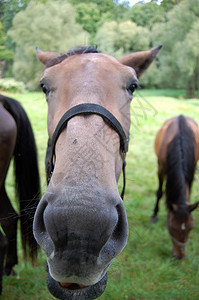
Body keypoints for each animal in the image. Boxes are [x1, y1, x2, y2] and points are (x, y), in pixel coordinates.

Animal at [151, 114, 199, 258]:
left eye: (191, 227)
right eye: (172, 227)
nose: (180, 255)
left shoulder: (191, 170)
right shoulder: (161, 168)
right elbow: (159, 192)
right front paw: (154, 215)